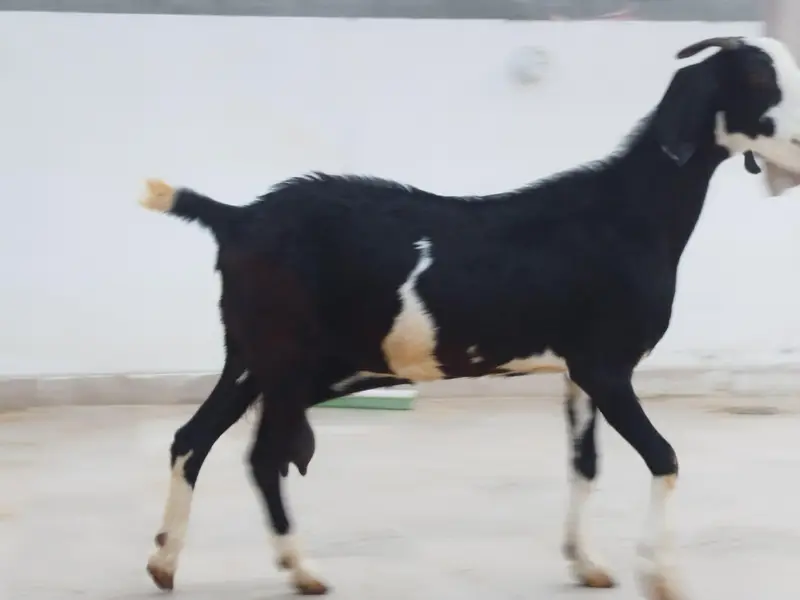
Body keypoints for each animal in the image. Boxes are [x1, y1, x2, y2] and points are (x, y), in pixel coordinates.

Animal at [140, 36, 800, 600]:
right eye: (758, 79)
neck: (627, 213)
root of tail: (237, 218)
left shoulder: (579, 373)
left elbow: (585, 465)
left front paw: (586, 562)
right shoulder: (606, 366)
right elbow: (664, 457)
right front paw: (661, 576)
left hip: (253, 357)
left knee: (196, 440)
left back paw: (170, 561)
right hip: (286, 357)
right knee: (260, 453)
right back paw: (300, 568)